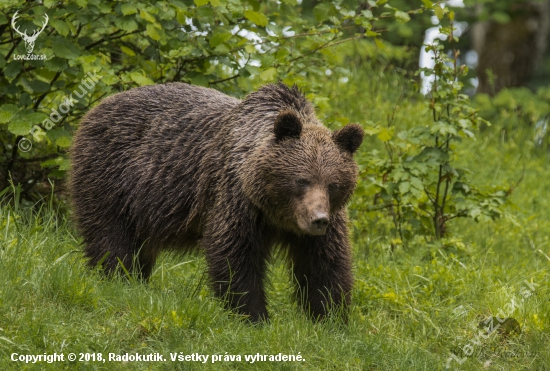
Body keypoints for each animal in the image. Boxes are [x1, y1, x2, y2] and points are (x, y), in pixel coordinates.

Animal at [70, 82, 366, 322]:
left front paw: (330, 318)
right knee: (111, 237)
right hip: (113, 178)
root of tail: (99, 106)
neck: (276, 213)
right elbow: (235, 255)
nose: (318, 220)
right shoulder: (236, 199)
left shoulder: (324, 224)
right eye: (301, 180)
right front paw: (253, 316)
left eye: (333, 184)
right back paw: (117, 278)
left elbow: (325, 264)